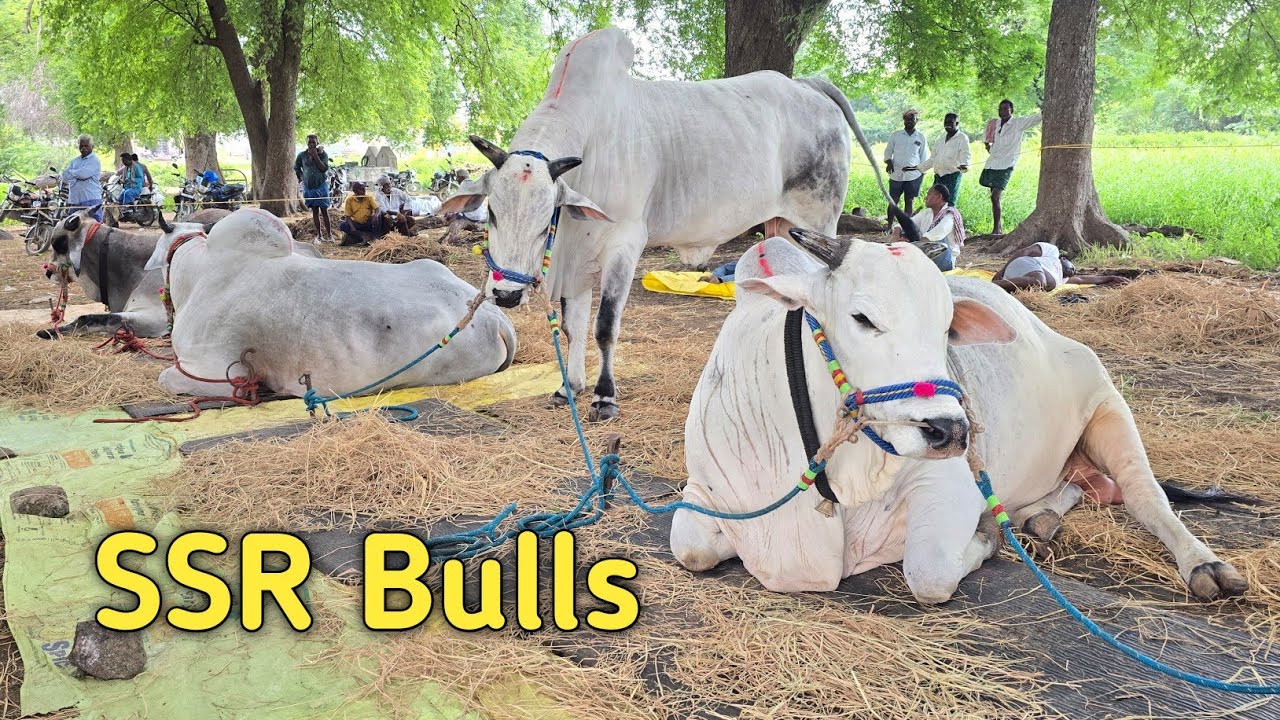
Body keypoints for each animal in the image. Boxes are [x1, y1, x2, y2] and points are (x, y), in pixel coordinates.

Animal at [441, 27, 887, 422]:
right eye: (492, 213)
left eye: (543, 221)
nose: (506, 295)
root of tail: (807, 86)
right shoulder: (576, 256)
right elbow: (573, 326)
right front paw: (570, 386)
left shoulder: (624, 242)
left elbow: (604, 326)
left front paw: (605, 397)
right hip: (778, 226)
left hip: (816, 221)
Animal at [670, 230, 1248, 605]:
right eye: (862, 317)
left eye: (948, 325)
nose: (949, 431)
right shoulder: (703, 489)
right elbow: (690, 549)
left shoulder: (950, 490)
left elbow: (928, 575)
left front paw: (987, 537)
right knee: (1080, 487)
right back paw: (1039, 518)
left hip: (1109, 407)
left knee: (1144, 496)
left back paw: (1206, 566)